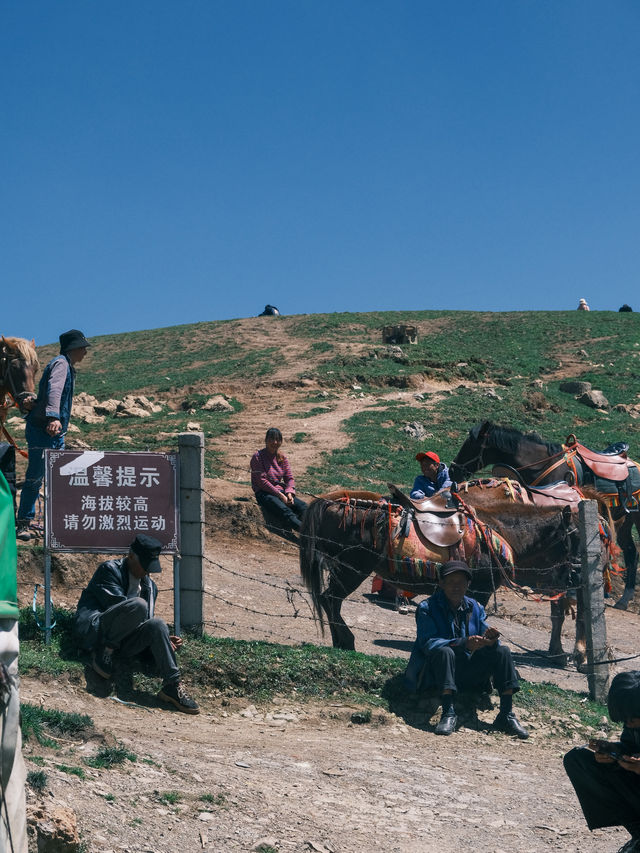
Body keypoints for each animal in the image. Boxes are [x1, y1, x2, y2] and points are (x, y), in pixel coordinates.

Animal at [298, 490, 580, 656]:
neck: (498, 530)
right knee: (331, 599)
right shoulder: (479, 590)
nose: (575, 577)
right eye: (574, 537)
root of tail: (332, 503)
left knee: (329, 600)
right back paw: (346, 640)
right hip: (352, 569)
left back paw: (340, 641)